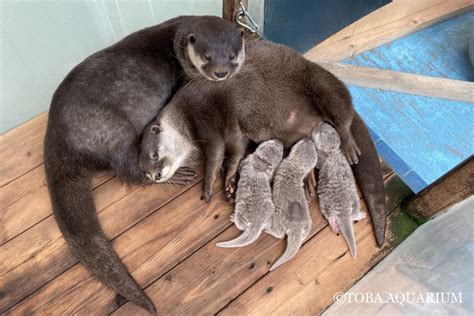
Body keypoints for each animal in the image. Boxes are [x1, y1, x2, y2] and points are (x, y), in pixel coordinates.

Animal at [44, 16, 246, 312]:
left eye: (232, 55)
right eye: (207, 56)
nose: (221, 73)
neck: (177, 45)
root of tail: (57, 139)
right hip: (111, 129)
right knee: (131, 171)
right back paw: (174, 176)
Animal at [140, 39, 386, 247]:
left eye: (154, 155)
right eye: (145, 171)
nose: (155, 176)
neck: (184, 117)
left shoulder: (204, 118)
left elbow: (216, 155)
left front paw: (209, 186)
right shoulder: (235, 130)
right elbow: (235, 151)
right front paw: (230, 182)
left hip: (320, 81)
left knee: (342, 109)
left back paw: (349, 145)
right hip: (293, 135)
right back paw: (308, 180)